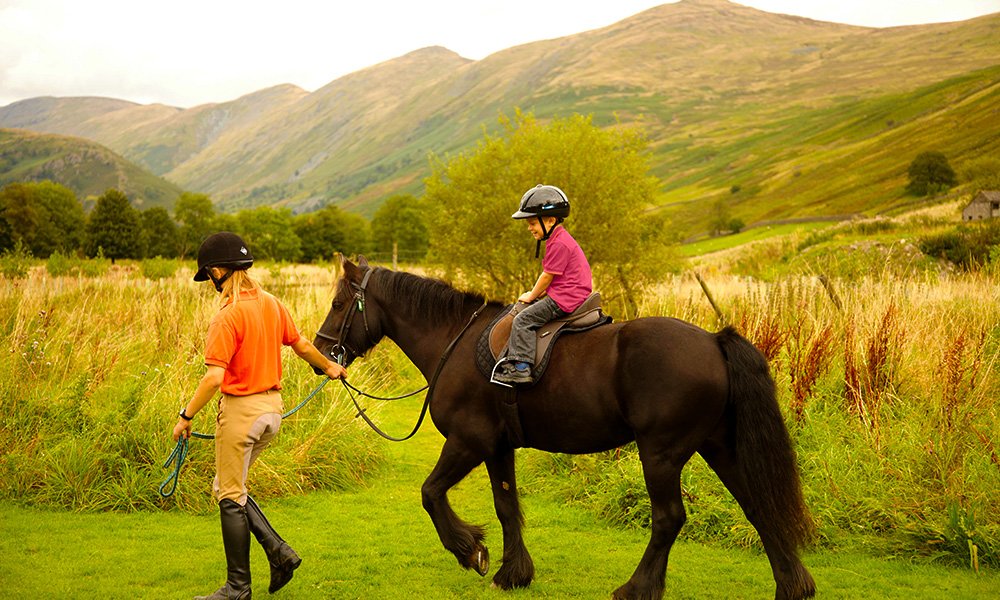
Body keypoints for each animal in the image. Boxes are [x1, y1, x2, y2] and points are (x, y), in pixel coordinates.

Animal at [316, 258, 816, 600]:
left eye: (339, 304)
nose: (322, 357)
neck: (453, 341)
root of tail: (713, 340)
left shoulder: (468, 442)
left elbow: (431, 493)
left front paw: (469, 549)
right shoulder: (498, 448)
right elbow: (506, 507)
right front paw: (513, 574)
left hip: (661, 454)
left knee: (669, 519)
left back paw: (636, 589)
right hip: (719, 447)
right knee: (759, 506)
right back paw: (793, 585)